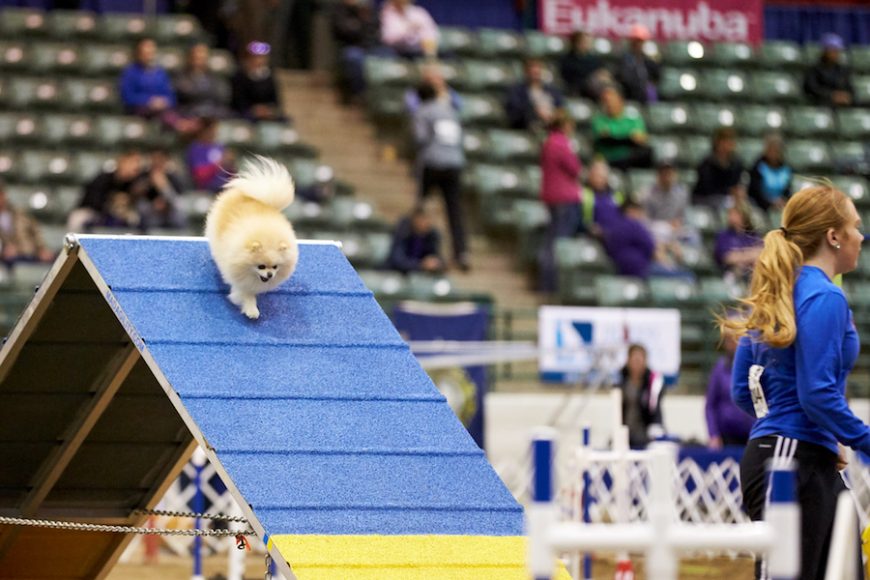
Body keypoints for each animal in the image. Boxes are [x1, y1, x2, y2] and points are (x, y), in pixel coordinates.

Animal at [207, 155, 300, 318]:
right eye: (261, 266)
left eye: (275, 267)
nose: (269, 275)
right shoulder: (239, 279)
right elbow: (246, 294)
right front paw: (252, 310)